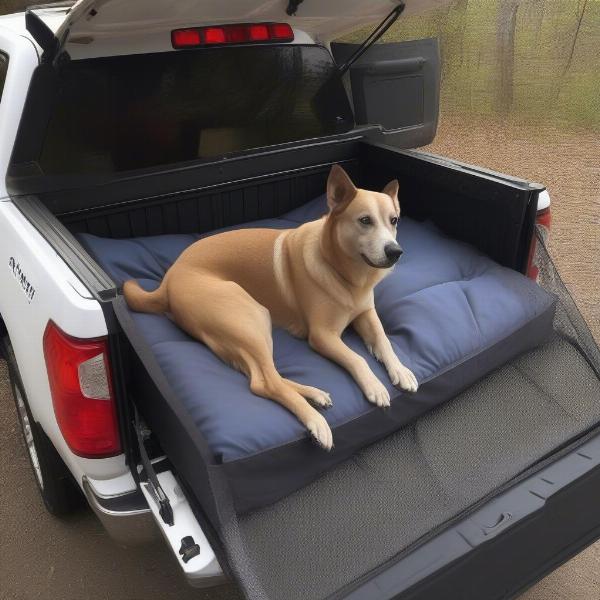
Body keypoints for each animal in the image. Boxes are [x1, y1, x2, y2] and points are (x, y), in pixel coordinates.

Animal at [123, 165, 418, 450]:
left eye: (394, 220)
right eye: (365, 220)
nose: (395, 252)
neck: (344, 273)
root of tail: (168, 279)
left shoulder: (366, 314)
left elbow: (383, 340)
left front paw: (401, 370)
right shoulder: (322, 335)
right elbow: (357, 357)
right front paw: (375, 386)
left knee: (262, 377)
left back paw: (314, 394)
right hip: (251, 317)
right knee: (266, 383)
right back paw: (316, 420)